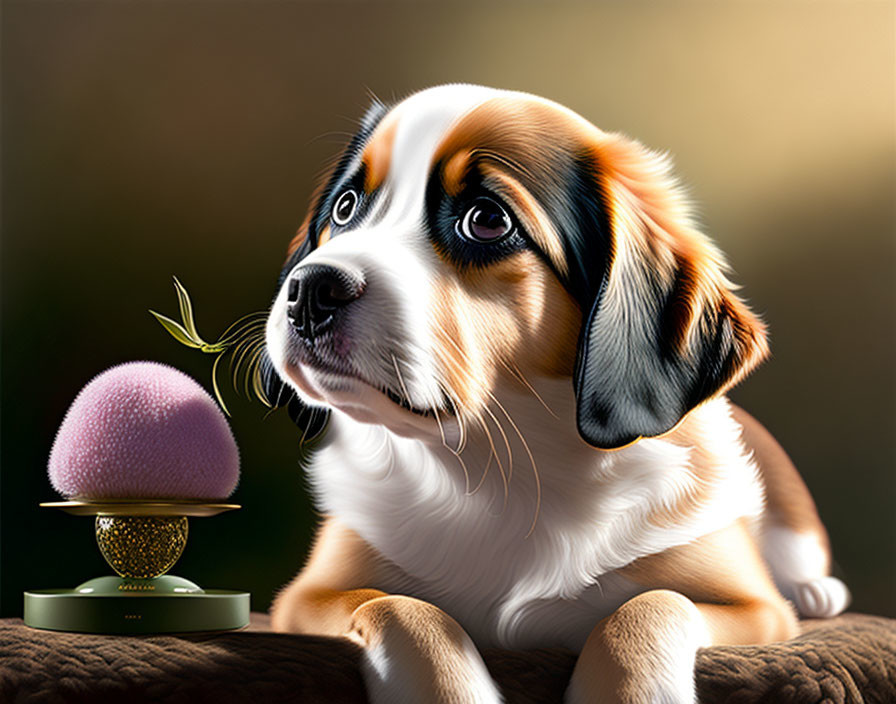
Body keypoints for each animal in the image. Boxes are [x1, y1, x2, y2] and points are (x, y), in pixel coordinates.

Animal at [262, 86, 852, 704]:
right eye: (345, 207)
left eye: (486, 221)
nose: (309, 290)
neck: (500, 469)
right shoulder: (309, 596)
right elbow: (403, 607)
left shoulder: (754, 608)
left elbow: (650, 604)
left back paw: (817, 591)